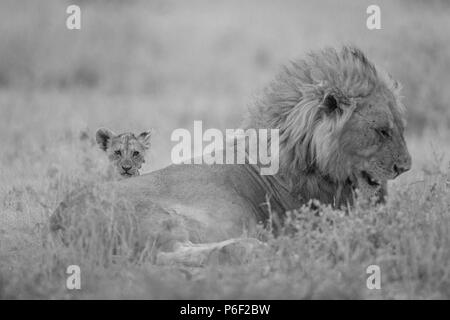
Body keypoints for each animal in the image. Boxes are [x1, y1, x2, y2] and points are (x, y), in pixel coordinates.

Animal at [50, 45, 412, 264]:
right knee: (166, 256)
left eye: (400, 127)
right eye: (382, 130)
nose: (405, 167)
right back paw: (254, 247)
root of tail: (57, 219)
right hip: (157, 218)